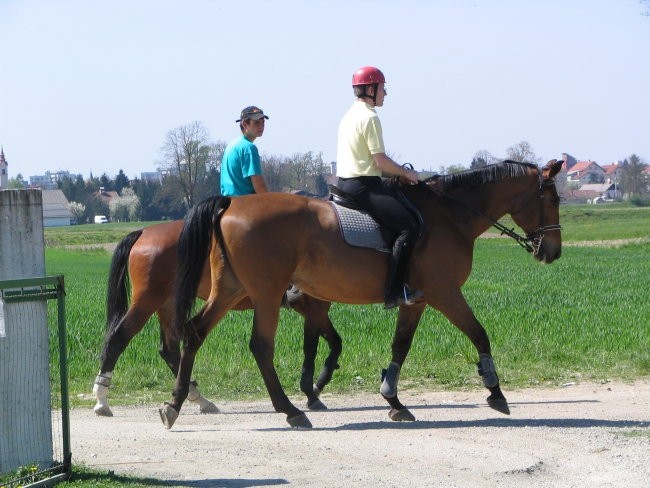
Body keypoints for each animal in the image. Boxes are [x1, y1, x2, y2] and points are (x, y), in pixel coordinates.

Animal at [95, 220, 344, 416]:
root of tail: (144, 232)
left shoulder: (317, 311)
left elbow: (335, 342)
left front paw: (318, 384)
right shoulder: (315, 309)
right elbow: (312, 349)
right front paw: (312, 391)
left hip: (167, 303)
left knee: (169, 350)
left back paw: (199, 399)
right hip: (147, 301)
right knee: (118, 339)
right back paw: (101, 400)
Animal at [159, 159, 560, 428]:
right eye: (554, 200)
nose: (552, 252)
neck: (449, 216)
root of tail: (231, 204)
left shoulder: (416, 301)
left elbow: (400, 346)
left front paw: (393, 399)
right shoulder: (445, 293)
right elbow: (479, 333)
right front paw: (496, 392)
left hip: (231, 289)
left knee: (194, 333)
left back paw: (176, 405)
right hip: (266, 293)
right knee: (260, 346)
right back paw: (290, 410)